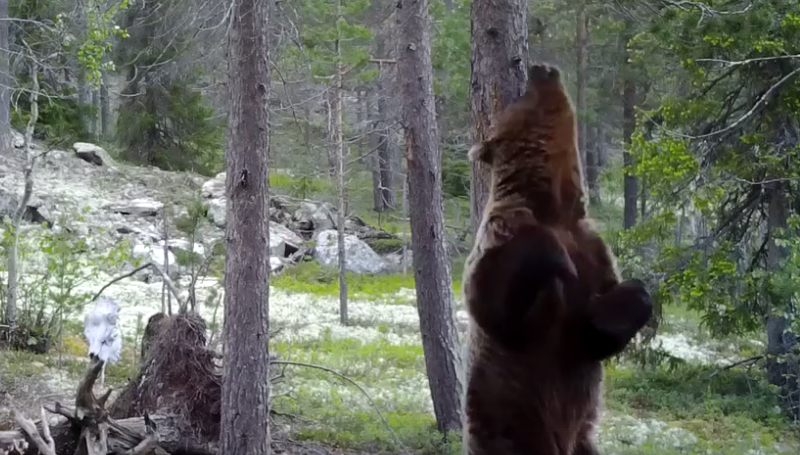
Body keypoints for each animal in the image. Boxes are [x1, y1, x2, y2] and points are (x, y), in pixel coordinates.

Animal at [461, 63, 653, 455]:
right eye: (520, 96)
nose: (542, 68)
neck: (555, 205)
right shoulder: (500, 235)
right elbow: (492, 303)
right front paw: (555, 260)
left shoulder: (592, 248)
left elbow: (595, 335)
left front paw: (623, 304)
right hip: (507, 430)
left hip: (583, 441)